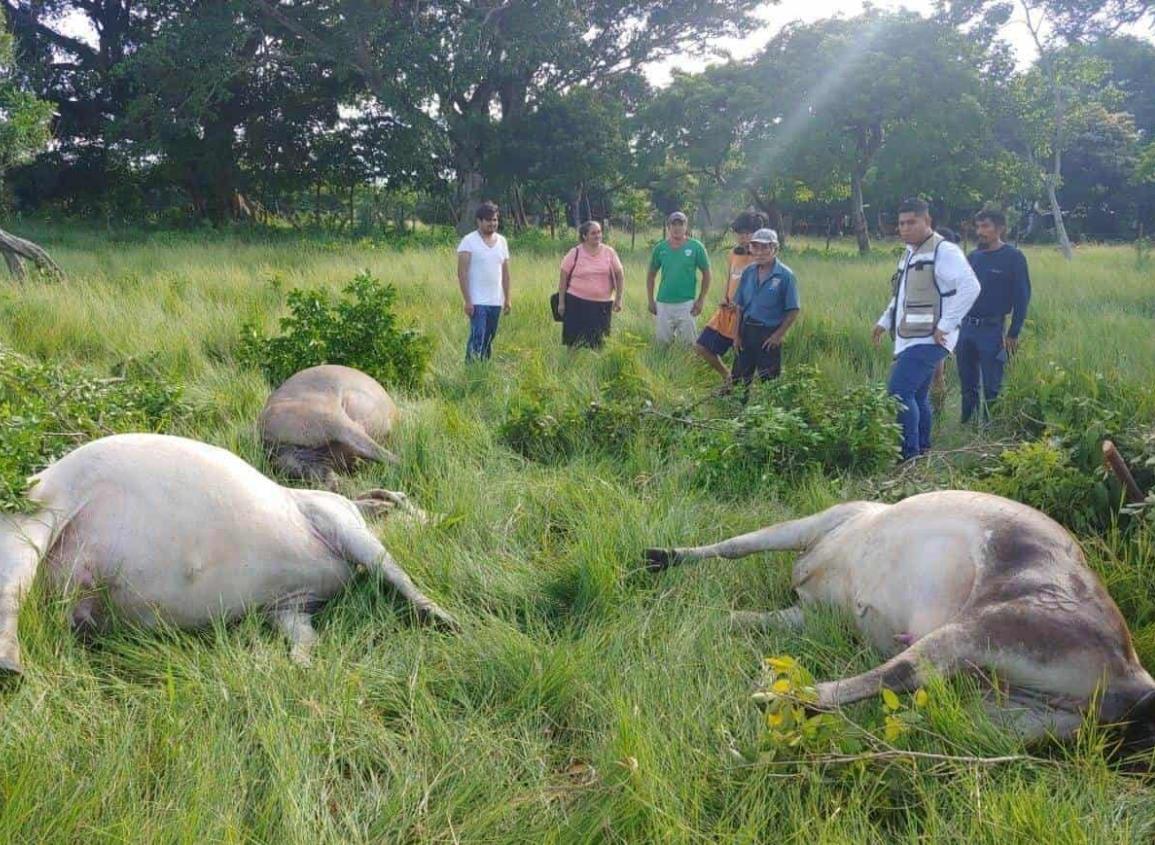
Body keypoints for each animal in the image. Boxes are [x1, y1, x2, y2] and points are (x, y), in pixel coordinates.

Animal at [0, 436, 455, 674]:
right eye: (407, 502)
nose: (446, 516)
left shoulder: (288, 606)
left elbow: (303, 636)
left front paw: (300, 665)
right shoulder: (336, 519)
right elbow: (391, 567)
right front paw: (445, 619)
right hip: (35, 517)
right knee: (13, 592)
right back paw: (13, 668)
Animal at [646, 489, 1155, 752]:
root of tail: (1135, 677)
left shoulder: (821, 520)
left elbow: (739, 542)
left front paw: (659, 556)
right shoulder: (807, 616)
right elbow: (745, 616)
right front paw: (710, 614)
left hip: (984, 627)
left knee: (896, 673)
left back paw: (774, 698)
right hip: (1012, 714)